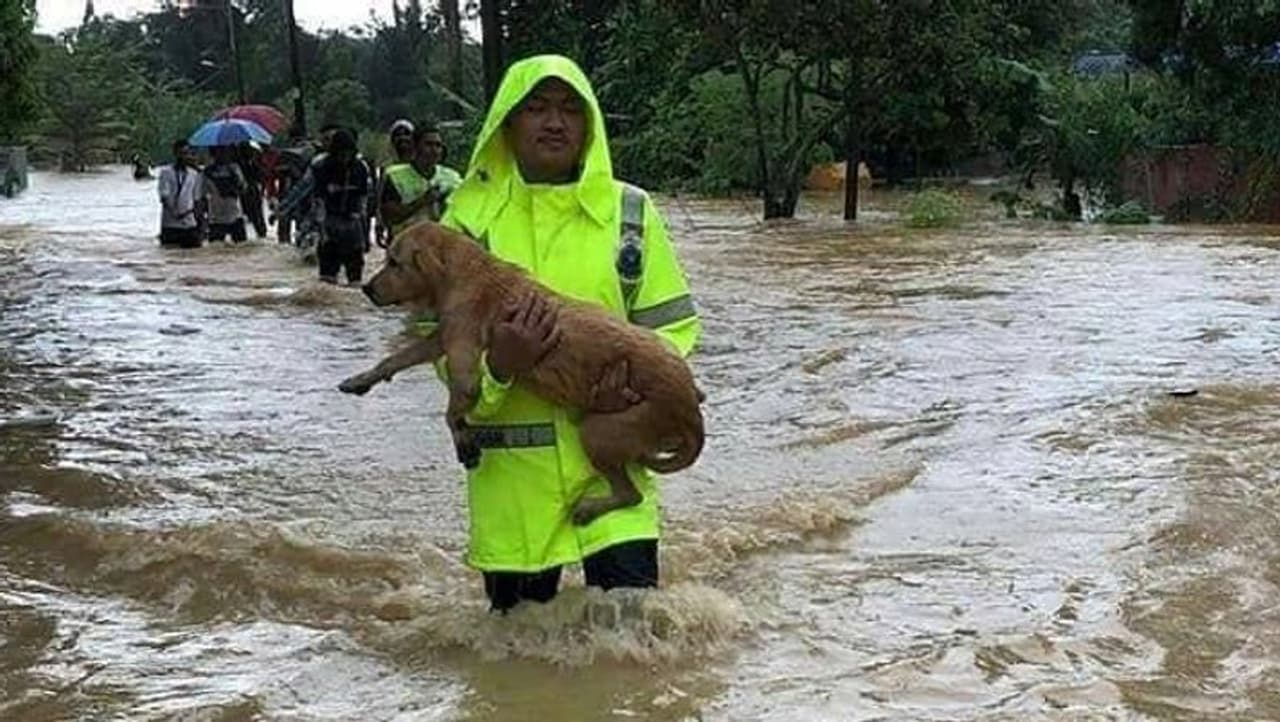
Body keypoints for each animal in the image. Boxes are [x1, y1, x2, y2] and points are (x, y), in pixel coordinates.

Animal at [339, 223, 705, 525]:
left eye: (394, 263)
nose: (366, 288)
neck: (463, 270)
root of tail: (691, 412)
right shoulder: (441, 338)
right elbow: (396, 358)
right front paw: (362, 379)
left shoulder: (465, 368)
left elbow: (453, 409)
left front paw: (462, 438)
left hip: (600, 431)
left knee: (631, 495)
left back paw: (588, 509)